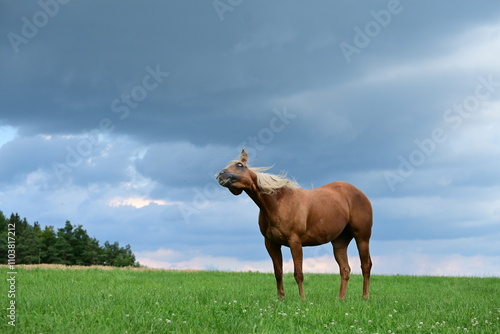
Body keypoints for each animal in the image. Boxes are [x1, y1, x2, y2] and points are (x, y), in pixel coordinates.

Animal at [217, 149, 374, 300]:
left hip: (362, 238)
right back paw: (341, 298)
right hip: (340, 242)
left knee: (366, 266)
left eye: (240, 165)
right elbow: (278, 272)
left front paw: (302, 299)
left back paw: (365, 297)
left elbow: (298, 273)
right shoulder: (271, 243)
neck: (277, 203)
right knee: (345, 269)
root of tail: (360, 194)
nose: (220, 175)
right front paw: (281, 298)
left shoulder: (295, 242)